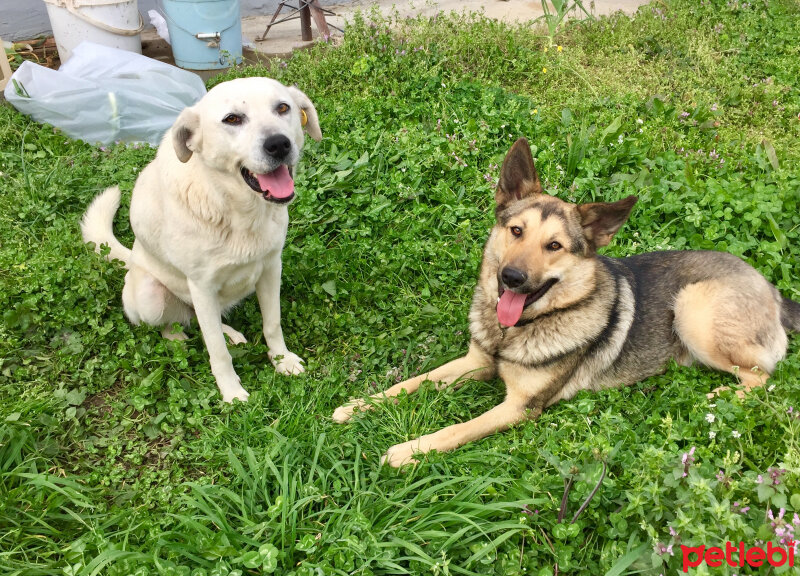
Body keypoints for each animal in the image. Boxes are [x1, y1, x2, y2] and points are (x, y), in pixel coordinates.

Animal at [79, 76, 320, 402]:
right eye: (232, 119)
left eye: (283, 108)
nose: (279, 144)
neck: (236, 211)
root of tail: (131, 258)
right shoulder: (201, 286)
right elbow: (217, 352)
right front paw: (232, 393)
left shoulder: (271, 267)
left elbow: (272, 323)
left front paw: (283, 361)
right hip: (152, 295)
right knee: (178, 325)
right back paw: (178, 337)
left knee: (208, 321)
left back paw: (230, 334)